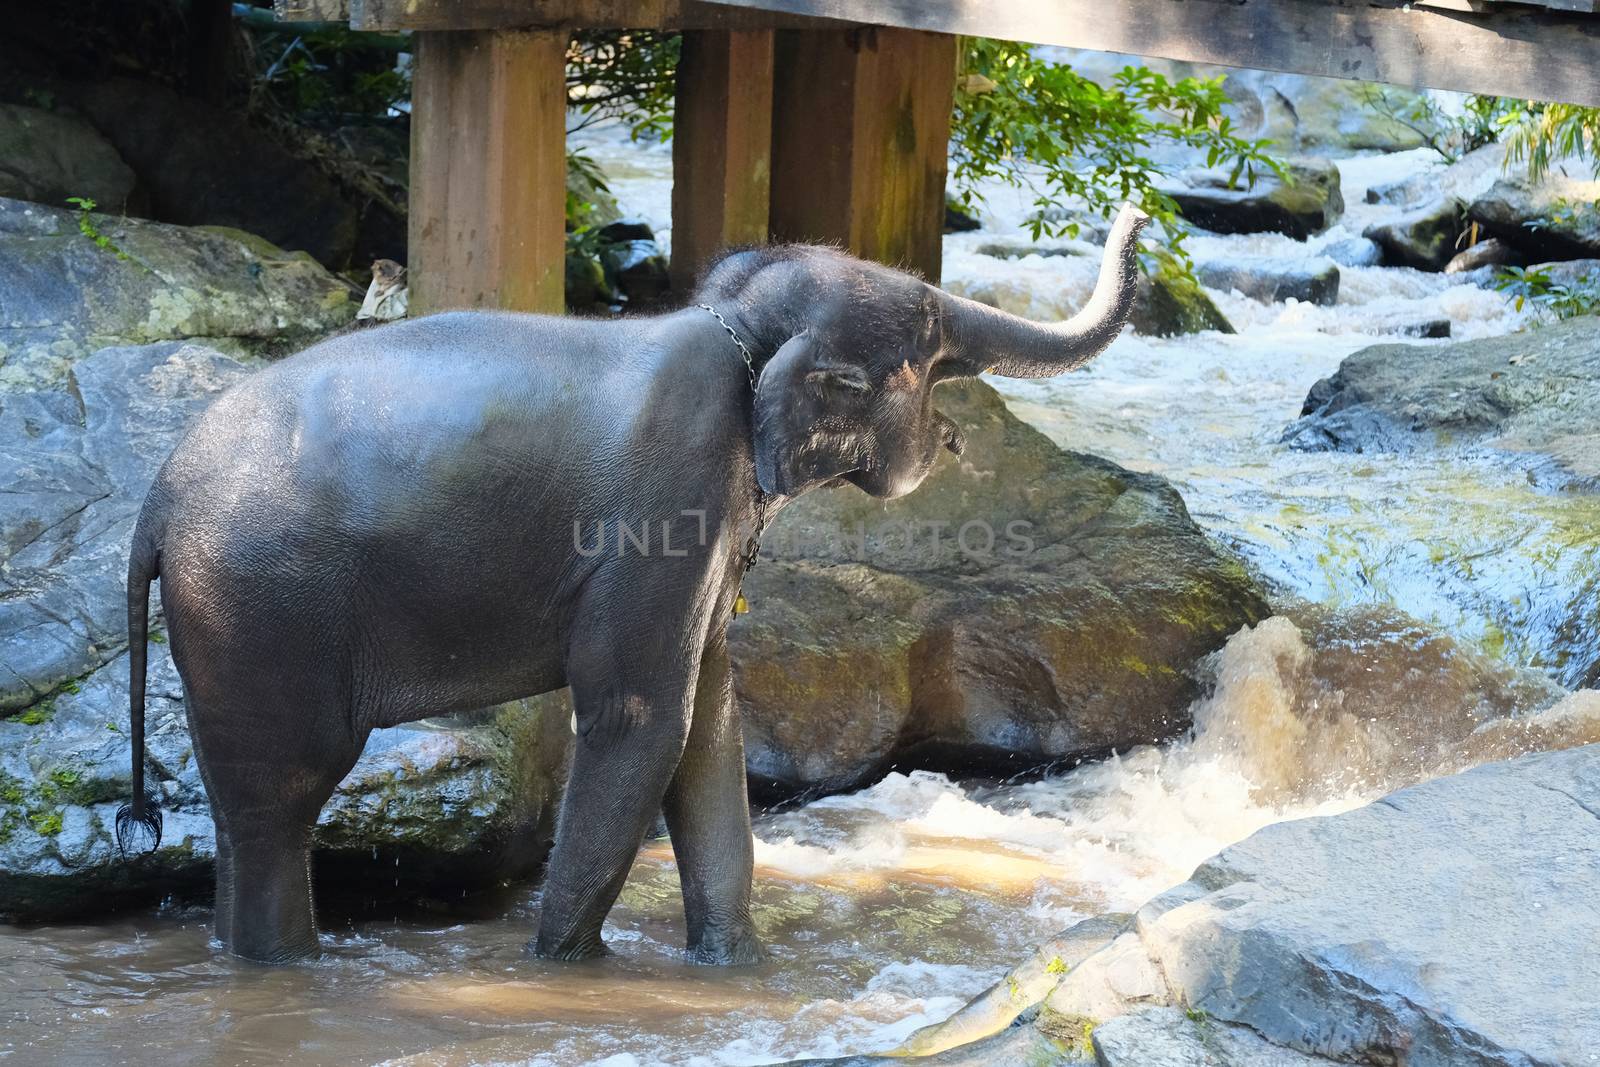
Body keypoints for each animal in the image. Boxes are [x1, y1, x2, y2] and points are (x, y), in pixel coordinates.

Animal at [116, 199, 1152, 966]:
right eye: (928, 344)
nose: (1137, 208)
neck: (735, 325)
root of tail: (156, 502)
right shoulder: (663, 506)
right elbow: (643, 720)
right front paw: (560, 968)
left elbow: (709, 725)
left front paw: (735, 968)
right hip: (260, 607)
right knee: (283, 797)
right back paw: (286, 963)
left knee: (241, 805)